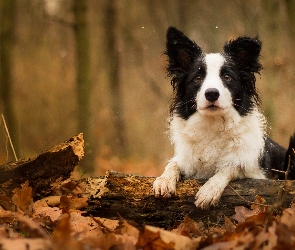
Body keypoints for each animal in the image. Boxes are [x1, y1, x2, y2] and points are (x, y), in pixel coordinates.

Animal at [154, 26, 295, 209]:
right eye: (197, 78)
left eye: (227, 77)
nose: (212, 94)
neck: (213, 123)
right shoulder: (187, 158)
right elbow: (174, 163)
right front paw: (163, 180)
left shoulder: (256, 173)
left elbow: (232, 166)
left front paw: (209, 191)